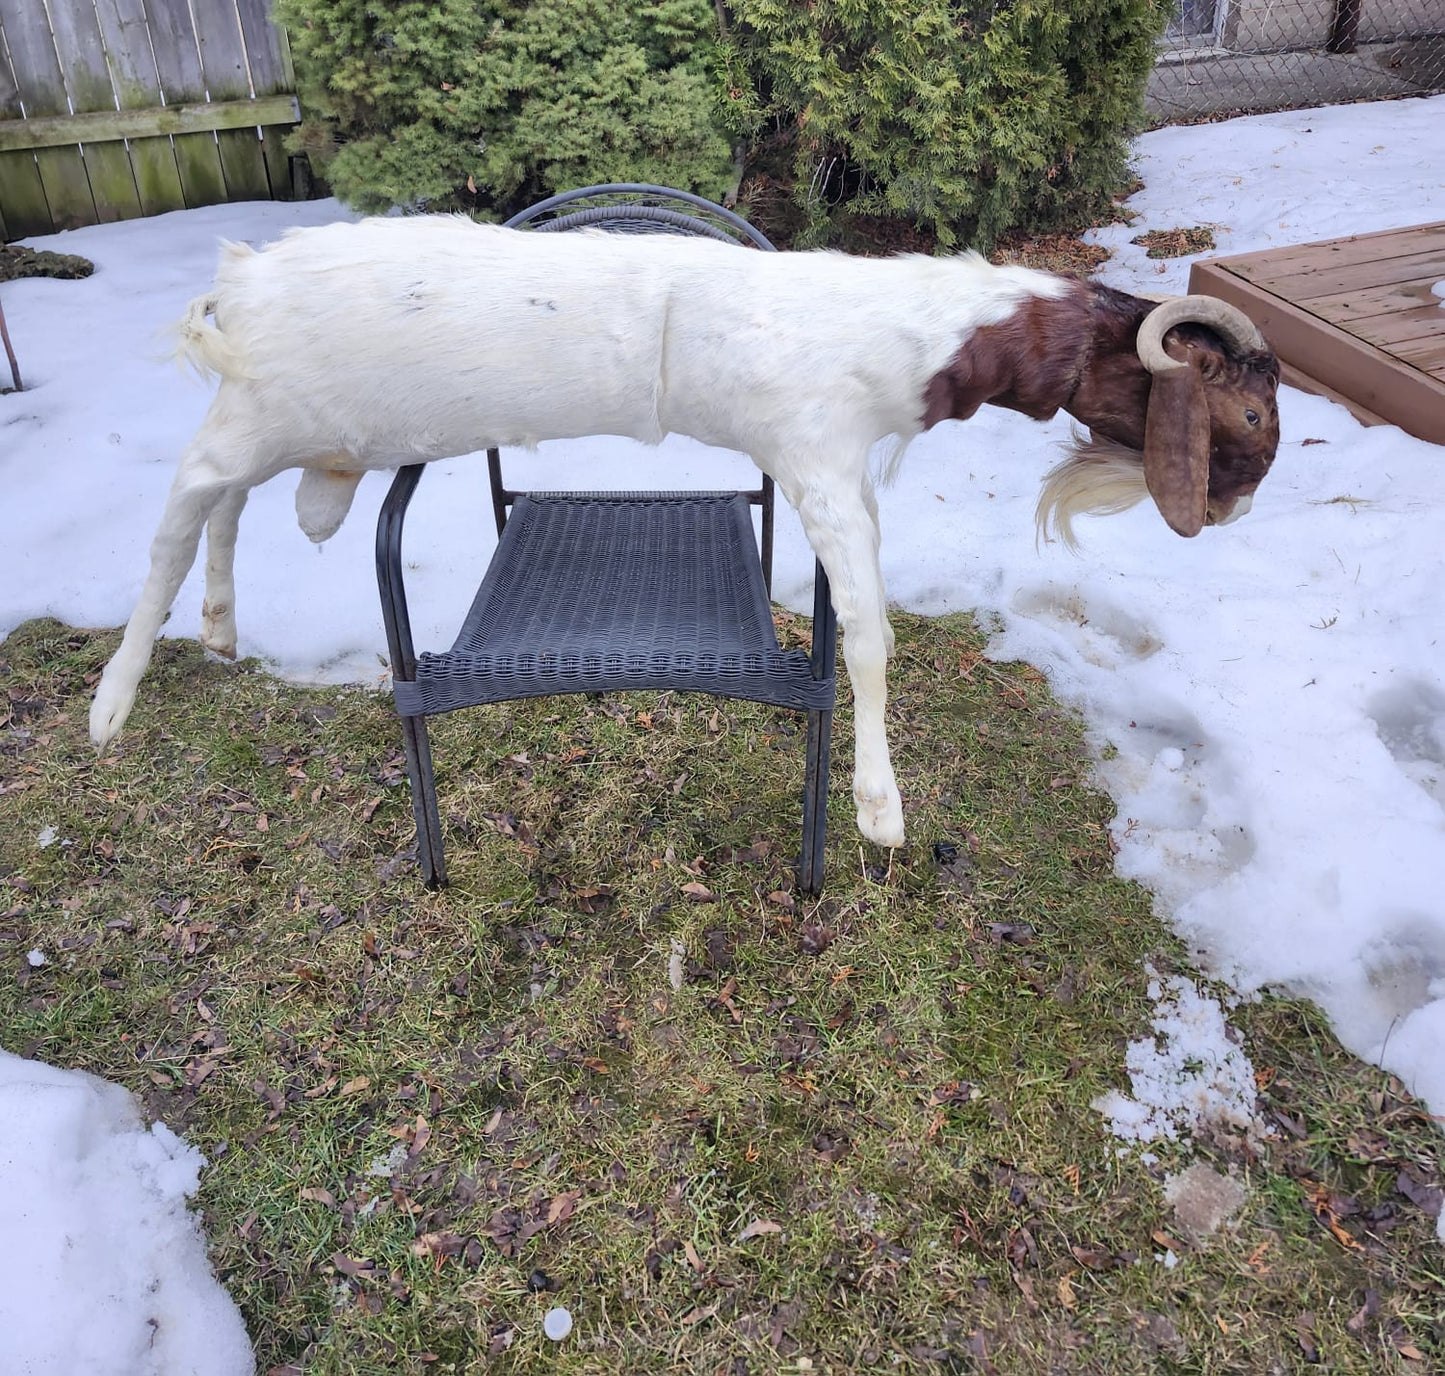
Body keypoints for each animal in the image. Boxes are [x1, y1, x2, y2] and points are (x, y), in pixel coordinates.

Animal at [89, 215, 1280, 848]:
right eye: (1250, 413)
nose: (1234, 507)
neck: (895, 334)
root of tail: (240, 280)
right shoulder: (815, 464)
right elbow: (869, 641)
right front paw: (878, 809)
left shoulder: (845, 478)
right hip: (247, 423)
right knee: (174, 518)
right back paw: (112, 702)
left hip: (284, 430)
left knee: (229, 511)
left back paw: (222, 624)